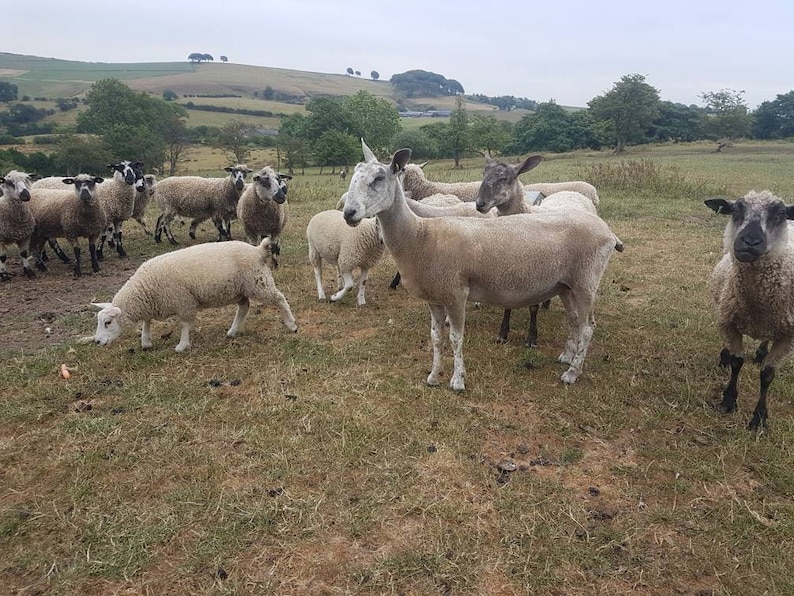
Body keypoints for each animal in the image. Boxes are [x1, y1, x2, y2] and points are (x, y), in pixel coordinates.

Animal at [90, 237, 300, 352]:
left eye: (107, 323)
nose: (97, 341)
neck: (145, 289)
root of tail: (258, 250)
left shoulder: (184, 302)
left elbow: (184, 325)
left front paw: (182, 346)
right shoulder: (155, 303)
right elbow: (147, 322)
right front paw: (146, 342)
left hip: (258, 282)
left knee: (279, 299)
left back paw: (291, 324)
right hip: (239, 289)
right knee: (244, 307)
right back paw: (232, 331)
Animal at [340, 140, 620, 392]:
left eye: (379, 178)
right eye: (353, 175)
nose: (348, 213)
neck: (420, 235)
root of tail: (608, 232)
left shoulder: (455, 294)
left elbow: (456, 339)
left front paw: (457, 381)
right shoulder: (435, 298)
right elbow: (436, 338)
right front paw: (433, 376)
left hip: (586, 282)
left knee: (587, 328)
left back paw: (572, 373)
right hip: (566, 285)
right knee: (574, 321)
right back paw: (566, 357)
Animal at [704, 191, 792, 428]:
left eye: (779, 214)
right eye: (736, 210)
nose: (750, 242)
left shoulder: (788, 336)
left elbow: (768, 374)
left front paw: (760, 417)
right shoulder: (728, 321)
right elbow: (737, 363)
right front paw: (728, 401)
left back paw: (761, 353)